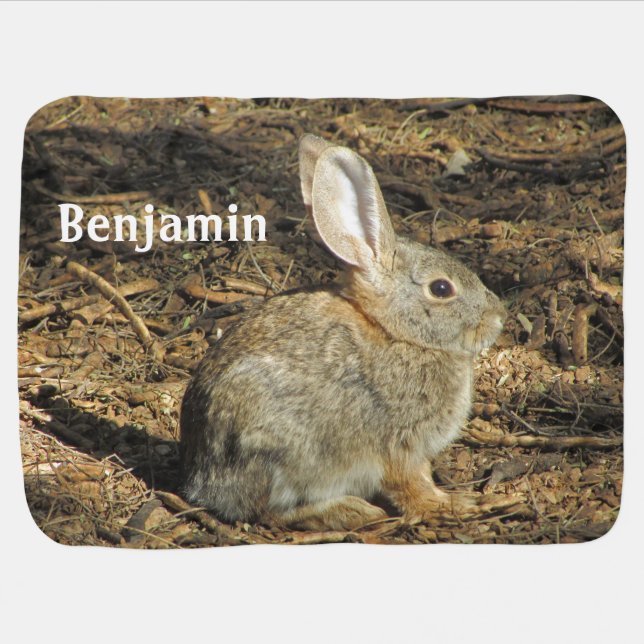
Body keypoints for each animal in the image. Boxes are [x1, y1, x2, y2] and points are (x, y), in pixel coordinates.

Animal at [179, 134, 506, 531]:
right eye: (441, 289)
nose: (498, 317)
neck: (397, 334)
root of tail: (204, 483)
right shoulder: (399, 444)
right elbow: (412, 485)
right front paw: (451, 504)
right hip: (286, 455)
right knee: (271, 513)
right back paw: (352, 510)